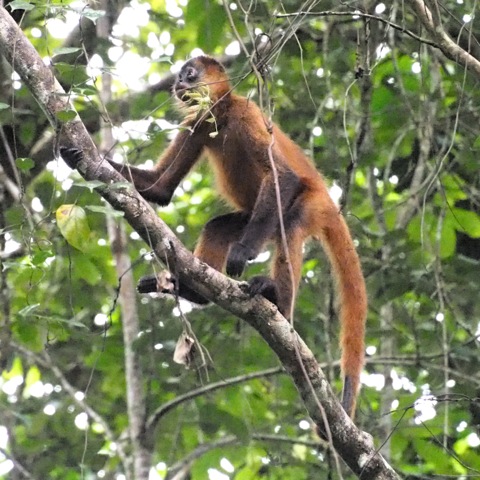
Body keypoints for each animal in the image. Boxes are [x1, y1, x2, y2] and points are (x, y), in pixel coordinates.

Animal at [60, 55, 368, 416]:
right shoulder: (198, 122)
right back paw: (194, 292)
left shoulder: (246, 114)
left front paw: (244, 251)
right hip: (256, 218)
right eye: (179, 77)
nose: (178, 84)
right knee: (218, 227)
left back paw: (278, 303)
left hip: (309, 205)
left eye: (189, 74)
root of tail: (330, 202)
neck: (223, 113)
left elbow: (283, 177)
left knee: (290, 224)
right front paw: (75, 158)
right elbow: (160, 188)